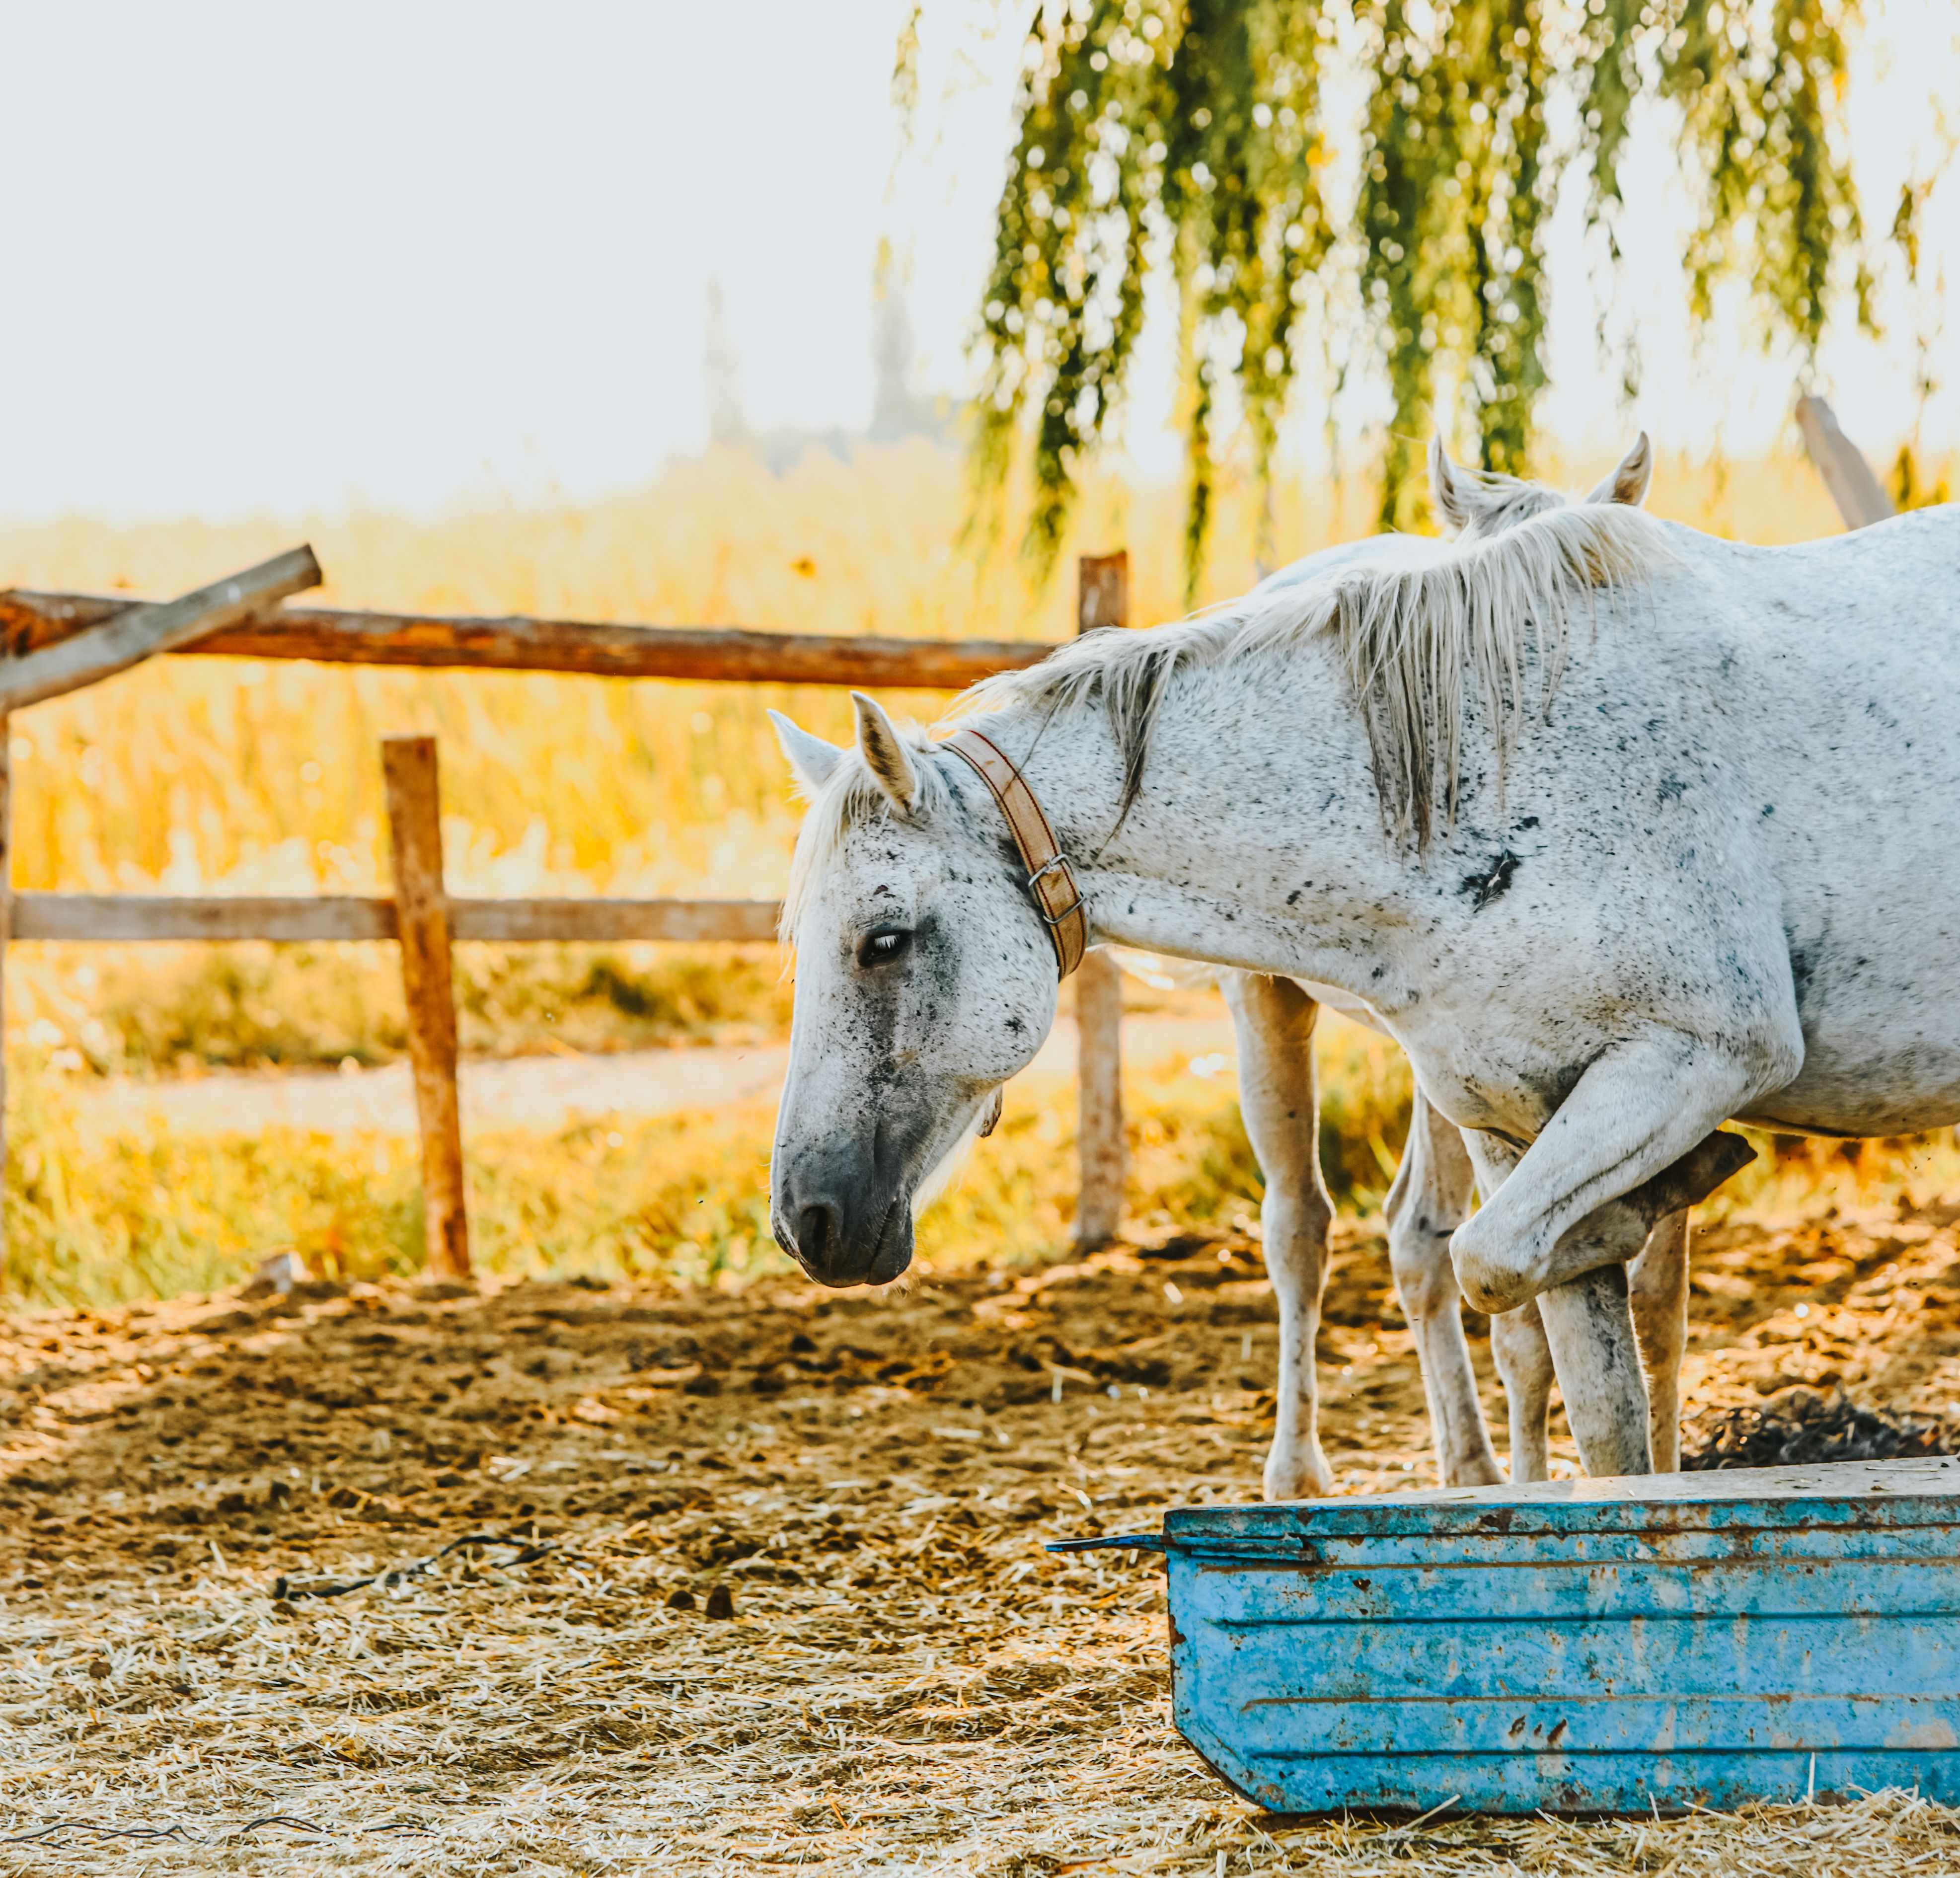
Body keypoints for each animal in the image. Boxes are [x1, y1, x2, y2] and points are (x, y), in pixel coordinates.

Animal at [767, 448, 1960, 1482]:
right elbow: (1558, 1352)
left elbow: (1508, 1269)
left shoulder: (1697, 1058)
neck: (1503, 754)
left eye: (883, 939)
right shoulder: (1514, 1119)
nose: (805, 1221)